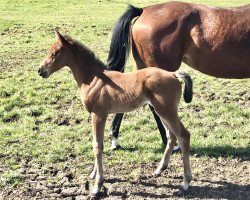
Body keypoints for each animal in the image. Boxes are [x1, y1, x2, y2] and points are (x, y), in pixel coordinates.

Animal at [38, 31, 193, 197]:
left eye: (54, 53)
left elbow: (97, 145)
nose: (40, 71)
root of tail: (173, 74)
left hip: (167, 111)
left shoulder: (98, 114)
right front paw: (93, 174)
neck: (93, 78)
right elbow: (98, 143)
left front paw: (97, 185)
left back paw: (185, 182)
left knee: (184, 136)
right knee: (172, 136)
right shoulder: (97, 115)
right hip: (162, 111)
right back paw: (159, 169)